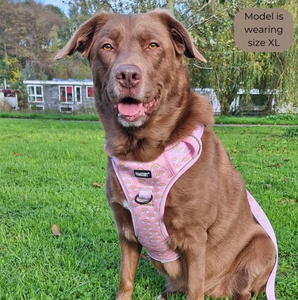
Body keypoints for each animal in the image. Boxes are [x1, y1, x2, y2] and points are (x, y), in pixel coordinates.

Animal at [54, 9, 276, 300]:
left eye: (153, 45)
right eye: (107, 47)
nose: (127, 75)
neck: (142, 154)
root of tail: (217, 290)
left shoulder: (194, 236)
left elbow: (194, 288)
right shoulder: (125, 229)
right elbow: (126, 280)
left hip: (264, 246)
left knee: (241, 291)